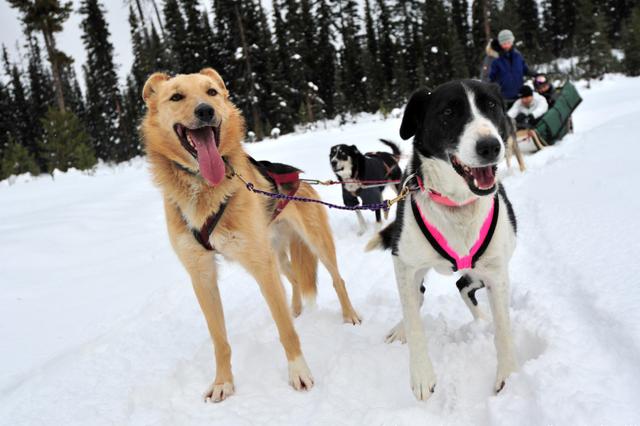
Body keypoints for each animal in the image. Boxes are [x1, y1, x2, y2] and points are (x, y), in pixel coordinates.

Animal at [141, 68, 360, 402]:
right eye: (176, 96)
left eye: (211, 91)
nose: (205, 110)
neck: (204, 188)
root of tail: (299, 177)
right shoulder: (202, 276)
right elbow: (219, 340)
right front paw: (223, 382)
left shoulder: (261, 267)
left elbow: (285, 331)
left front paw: (299, 372)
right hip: (277, 257)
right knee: (295, 280)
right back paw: (296, 308)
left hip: (314, 244)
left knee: (337, 280)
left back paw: (349, 316)